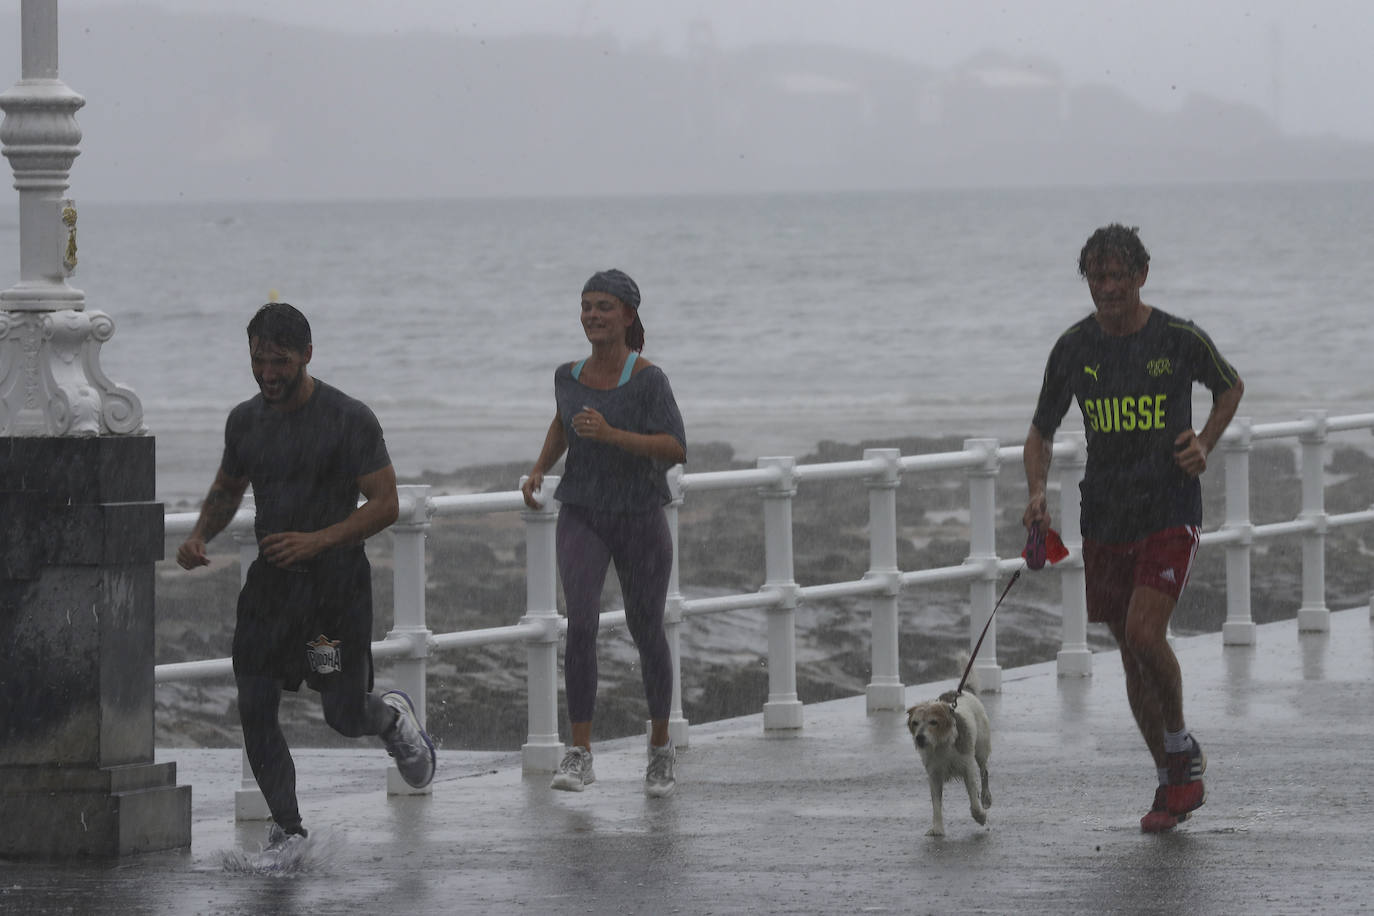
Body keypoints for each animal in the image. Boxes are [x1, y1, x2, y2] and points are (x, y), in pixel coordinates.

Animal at [906, 667, 994, 840]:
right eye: (915, 723)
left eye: (933, 722)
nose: (919, 737)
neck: (941, 746)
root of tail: (962, 691)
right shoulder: (934, 775)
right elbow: (936, 804)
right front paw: (937, 827)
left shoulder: (967, 769)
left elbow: (974, 799)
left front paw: (980, 816)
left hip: (981, 748)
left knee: (984, 771)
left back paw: (986, 797)